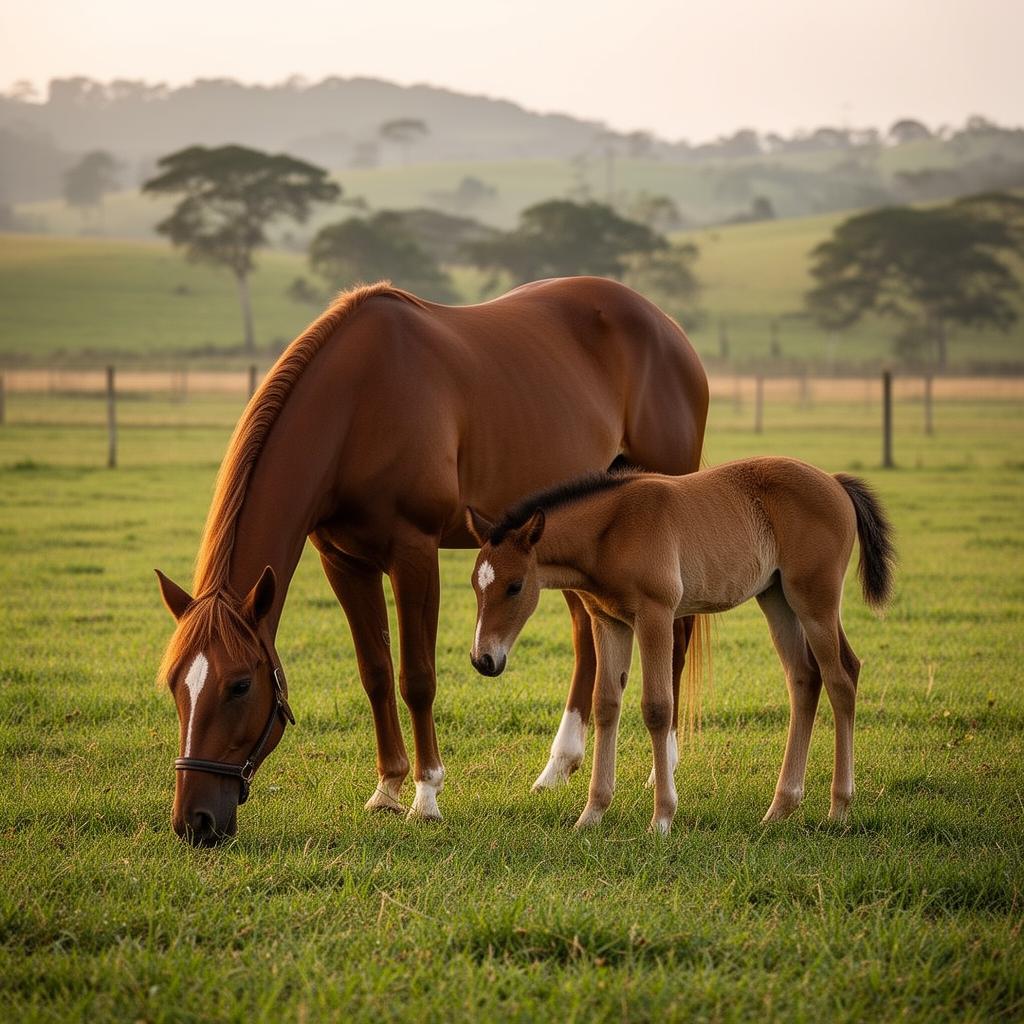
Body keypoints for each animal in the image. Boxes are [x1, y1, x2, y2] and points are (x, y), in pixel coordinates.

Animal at [155, 277, 708, 845]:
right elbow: (375, 673)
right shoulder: (343, 562)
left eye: (240, 685)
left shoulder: (414, 552)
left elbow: (417, 677)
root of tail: (667, 328)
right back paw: (558, 767)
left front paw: (426, 794)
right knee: (587, 637)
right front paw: (387, 788)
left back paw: (661, 768)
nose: (195, 821)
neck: (358, 402)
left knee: (675, 635)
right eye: (174, 682)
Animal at [466, 456, 895, 833]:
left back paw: (839, 808)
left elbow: (657, 708)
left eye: (515, 586)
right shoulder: (608, 621)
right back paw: (779, 809)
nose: (483, 659)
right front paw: (591, 815)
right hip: (776, 597)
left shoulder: (656, 615)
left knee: (841, 678)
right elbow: (605, 705)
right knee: (805, 678)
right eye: (475, 584)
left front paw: (661, 819)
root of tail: (834, 482)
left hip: (815, 600)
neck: (611, 531)